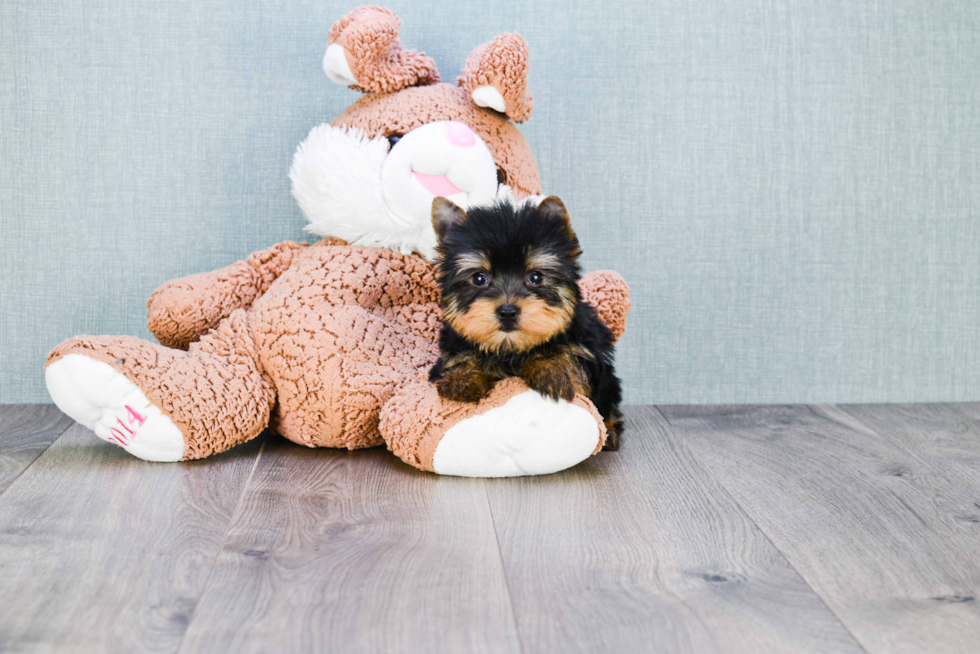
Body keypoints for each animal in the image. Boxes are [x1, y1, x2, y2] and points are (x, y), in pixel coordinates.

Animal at [426, 197, 624, 448]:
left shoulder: (585, 347)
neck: (511, 348)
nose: (507, 311)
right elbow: (460, 358)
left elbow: (569, 360)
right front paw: (462, 377)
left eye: (536, 277)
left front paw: (552, 369)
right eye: (479, 278)